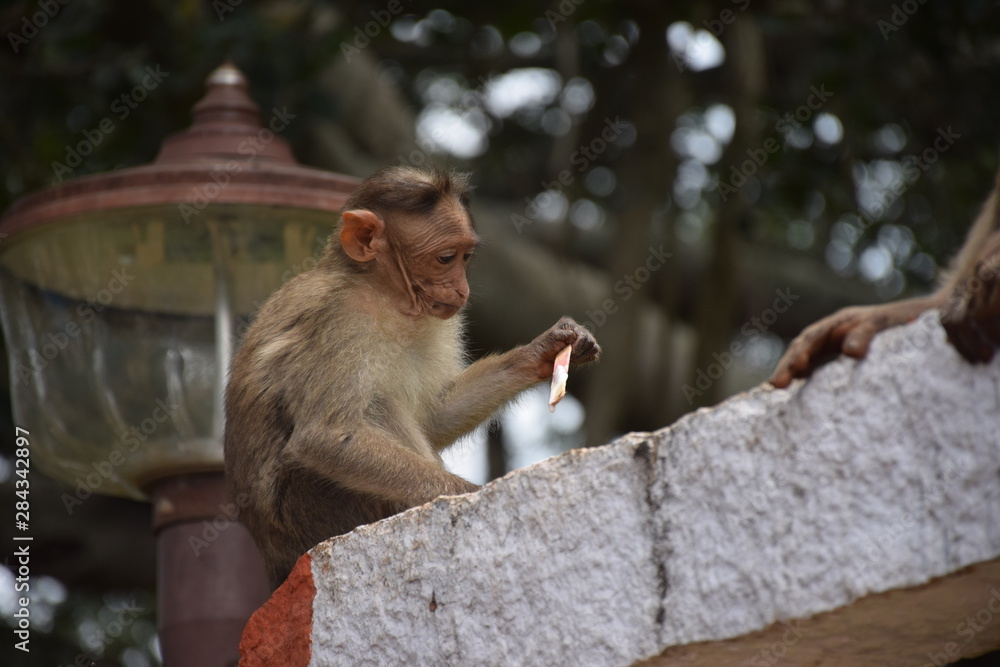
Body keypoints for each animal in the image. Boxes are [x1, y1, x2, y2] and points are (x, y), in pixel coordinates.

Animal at [224, 166, 601, 589]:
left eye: (466, 257)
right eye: (445, 258)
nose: (462, 289)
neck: (382, 293)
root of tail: (275, 562)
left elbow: (434, 416)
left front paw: (544, 351)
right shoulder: (338, 318)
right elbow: (326, 436)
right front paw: (468, 494)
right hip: (311, 512)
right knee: (375, 405)